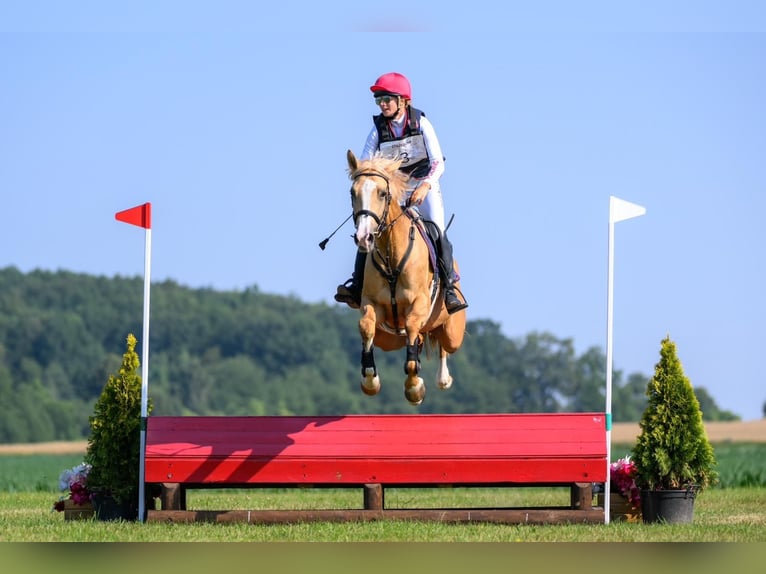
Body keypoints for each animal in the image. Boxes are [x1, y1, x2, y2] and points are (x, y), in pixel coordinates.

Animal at [348, 151, 468, 408]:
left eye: (382, 193)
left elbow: (413, 338)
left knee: (443, 342)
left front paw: (415, 388)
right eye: (353, 193)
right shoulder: (371, 303)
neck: (392, 253)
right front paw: (370, 380)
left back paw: (443, 378)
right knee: (418, 338)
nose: (364, 237)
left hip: (452, 329)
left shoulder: (419, 304)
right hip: (388, 338)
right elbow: (366, 326)